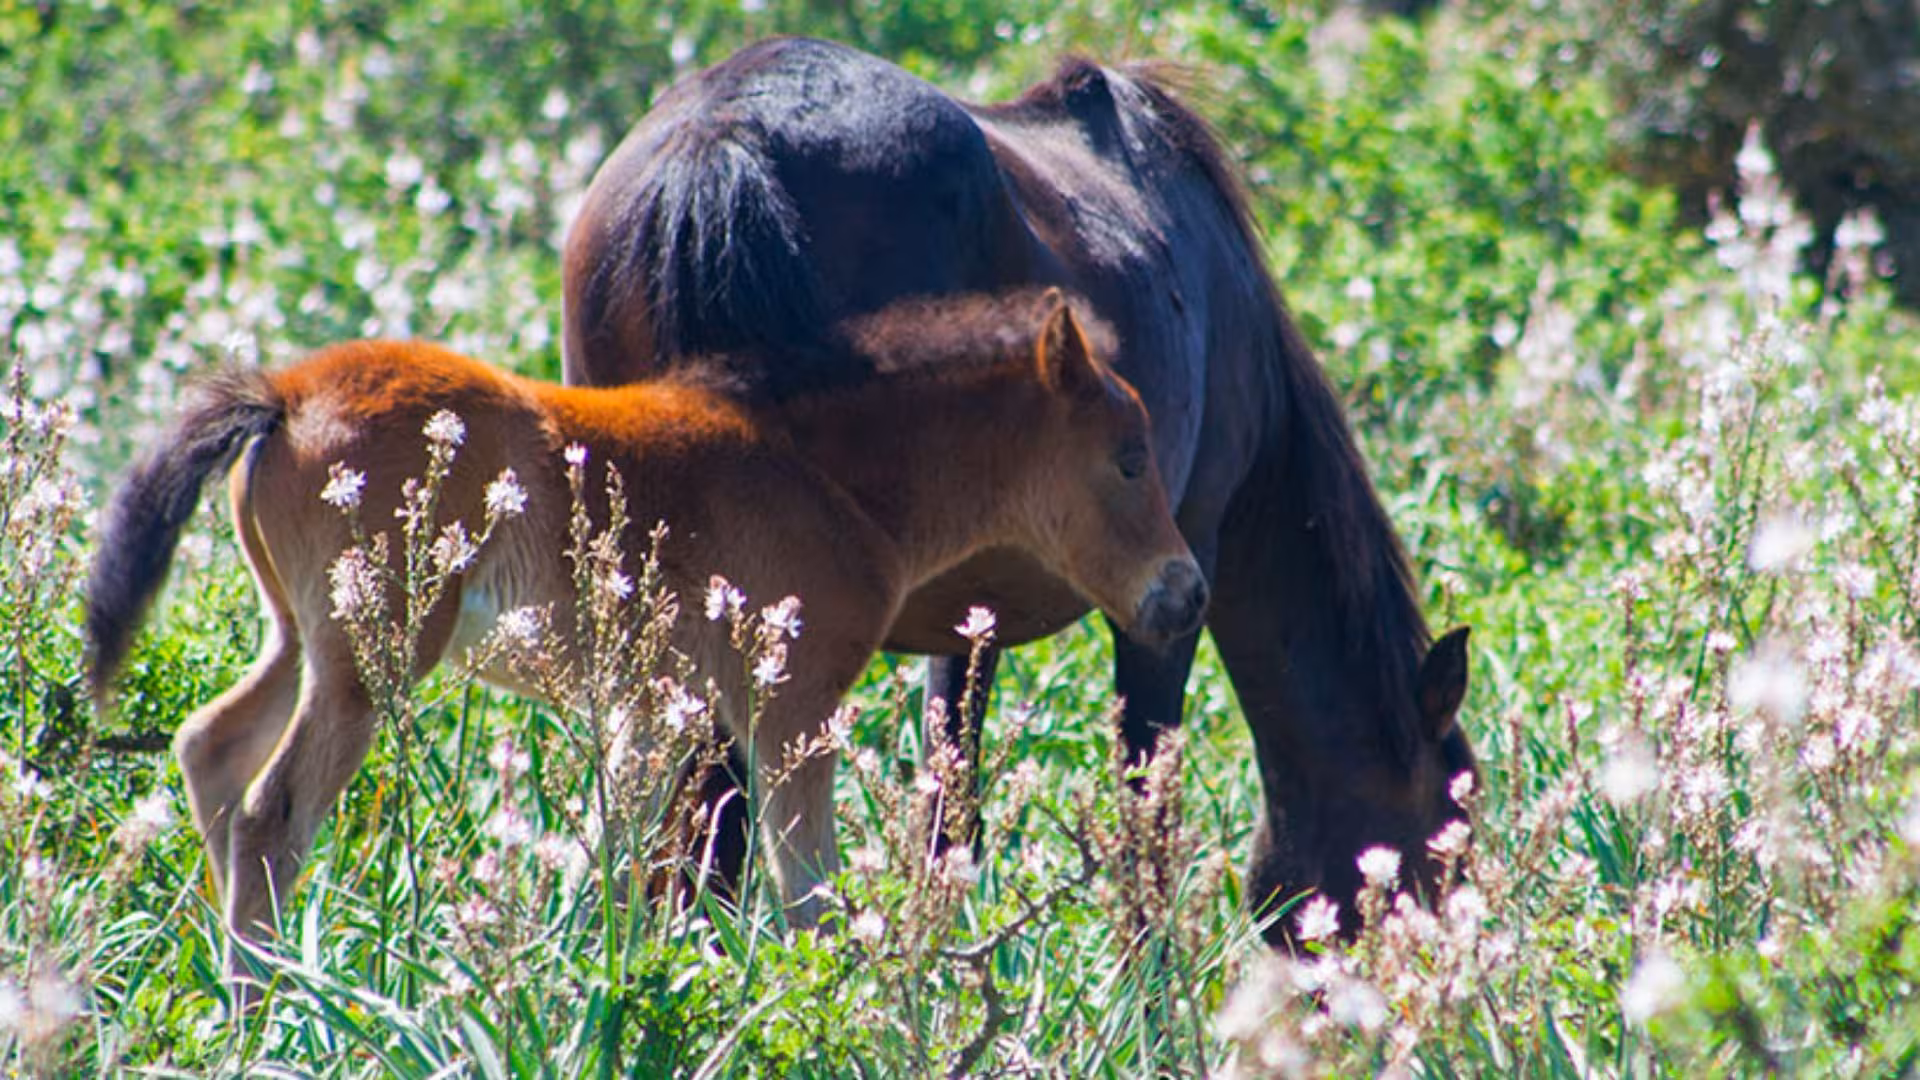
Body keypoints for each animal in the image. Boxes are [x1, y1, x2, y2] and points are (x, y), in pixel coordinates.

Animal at [84, 291, 1207, 975]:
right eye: (1128, 458)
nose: (1184, 593)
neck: (819, 474)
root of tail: (282, 394)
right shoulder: (789, 705)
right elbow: (807, 893)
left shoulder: (672, 711)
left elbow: (642, 862)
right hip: (374, 654)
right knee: (273, 814)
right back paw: (265, 1010)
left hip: (300, 636)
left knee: (212, 749)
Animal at [559, 37, 1475, 936]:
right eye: (1444, 853)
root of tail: (720, 141)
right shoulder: (1173, 582)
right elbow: (1140, 810)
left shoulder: (973, 614)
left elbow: (949, 803)